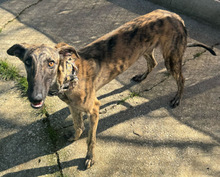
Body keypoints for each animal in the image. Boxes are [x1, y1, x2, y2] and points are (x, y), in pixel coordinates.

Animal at [7, 9, 216, 169]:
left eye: (51, 63)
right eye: (27, 62)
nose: (35, 98)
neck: (69, 77)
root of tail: (175, 15)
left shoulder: (94, 109)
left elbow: (90, 138)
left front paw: (90, 158)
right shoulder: (74, 107)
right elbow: (78, 126)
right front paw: (74, 137)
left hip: (171, 57)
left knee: (181, 78)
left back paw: (177, 98)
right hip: (146, 49)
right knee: (153, 62)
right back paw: (142, 76)